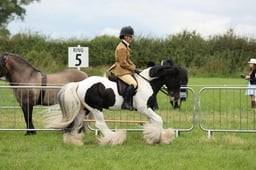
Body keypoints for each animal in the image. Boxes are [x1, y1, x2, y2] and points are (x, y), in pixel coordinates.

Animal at [47, 65, 181, 145]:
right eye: (176, 78)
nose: (176, 97)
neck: (146, 83)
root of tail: (79, 84)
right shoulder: (144, 108)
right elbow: (159, 119)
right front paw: (157, 138)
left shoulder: (148, 109)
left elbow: (154, 122)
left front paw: (160, 136)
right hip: (96, 108)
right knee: (100, 124)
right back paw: (114, 138)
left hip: (83, 109)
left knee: (76, 124)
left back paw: (73, 141)